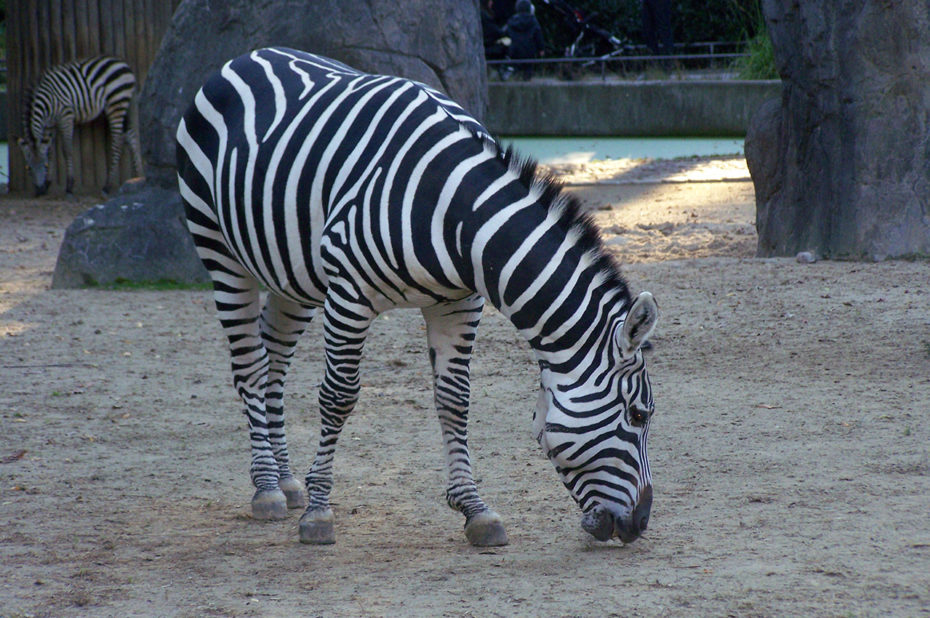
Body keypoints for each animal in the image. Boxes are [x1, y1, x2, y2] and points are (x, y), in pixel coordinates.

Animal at [15, 55, 142, 196]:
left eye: (45, 165)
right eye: (28, 168)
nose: (39, 191)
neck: (45, 104)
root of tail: (125, 65)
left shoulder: (66, 117)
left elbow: (67, 150)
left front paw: (69, 186)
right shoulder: (49, 125)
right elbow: (50, 151)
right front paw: (48, 183)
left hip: (115, 104)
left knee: (118, 142)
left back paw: (107, 186)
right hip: (122, 106)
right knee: (132, 136)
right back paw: (138, 177)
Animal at [172, 48, 652, 548]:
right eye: (639, 415)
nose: (641, 524)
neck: (459, 216)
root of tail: (246, 56)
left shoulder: (459, 303)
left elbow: (454, 399)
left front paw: (474, 510)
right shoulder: (349, 294)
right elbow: (338, 396)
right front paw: (320, 513)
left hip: (292, 275)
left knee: (274, 362)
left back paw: (287, 481)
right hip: (221, 251)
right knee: (250, 364)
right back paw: (267, 487)